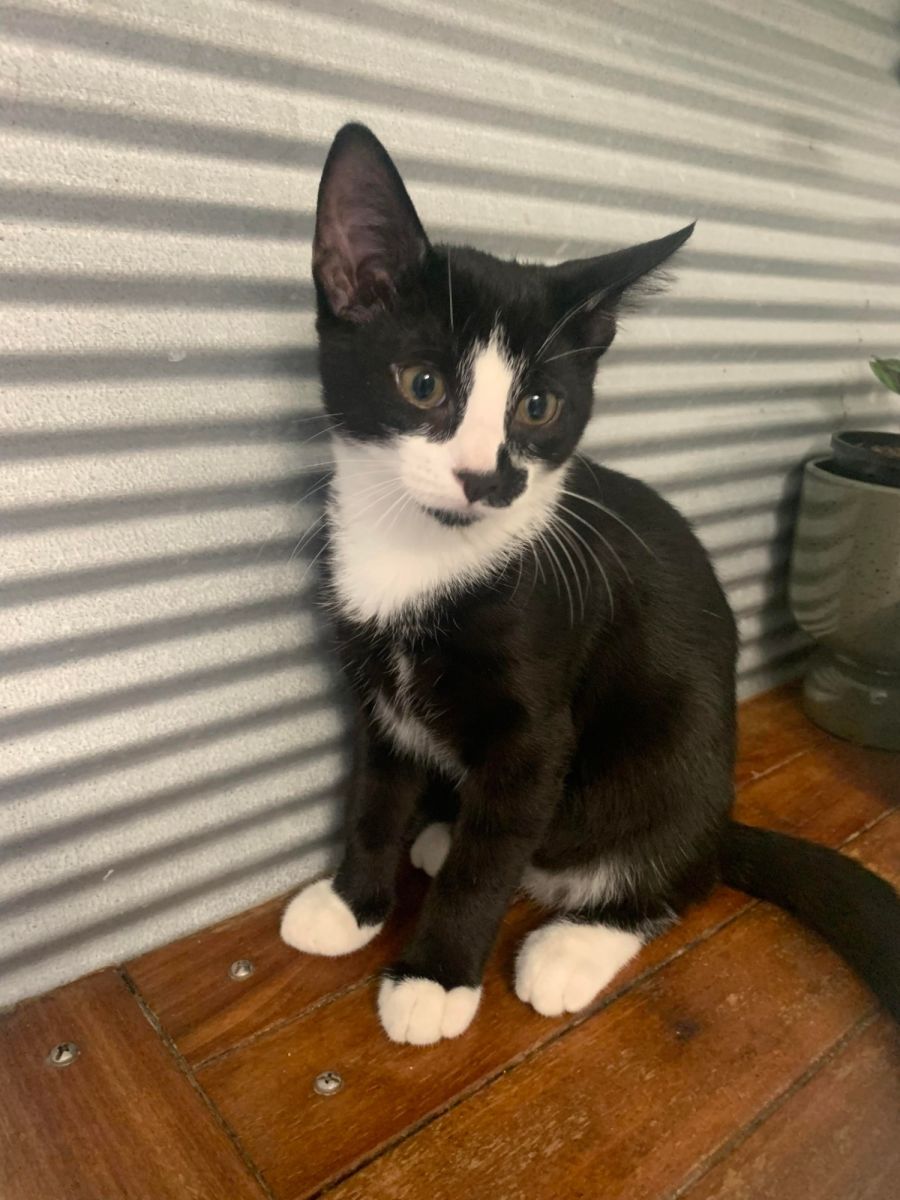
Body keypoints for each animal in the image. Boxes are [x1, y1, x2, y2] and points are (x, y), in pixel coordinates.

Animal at [279, 123, 900, 1045]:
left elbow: (488, 864)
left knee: (671, 876)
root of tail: (717, 819)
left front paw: (434, 977)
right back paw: (442, 836)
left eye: (538, 407)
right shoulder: (379, 695)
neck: (424, 555)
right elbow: (376, 798)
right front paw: (352, 903)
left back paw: (570, 946)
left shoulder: (538, 727)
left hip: (669, 756)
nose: (489, 479)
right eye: (423, 384)